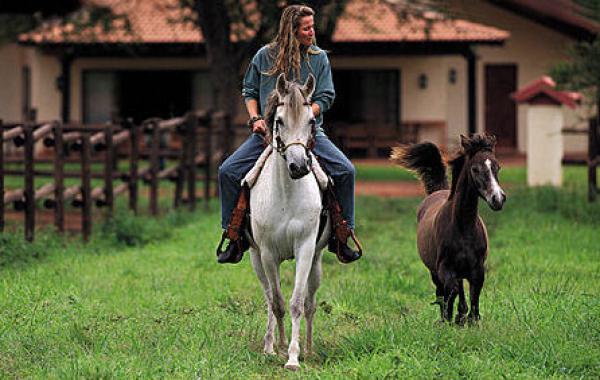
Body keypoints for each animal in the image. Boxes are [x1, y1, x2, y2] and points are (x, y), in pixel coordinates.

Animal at [243, 72, 328, 370]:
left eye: (311, 121)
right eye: (278, 120)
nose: (299, 166)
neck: (286, 195)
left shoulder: (305, 249)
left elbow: (297, 303)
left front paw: (294, 356)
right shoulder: (267, 253)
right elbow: (278, 303)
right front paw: (278, 348)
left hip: (317, 261)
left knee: (311, 302)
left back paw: (311, 348)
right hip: (257, 259)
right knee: (270, 297)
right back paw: (269, 345)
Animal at [390, 134, 506, 324]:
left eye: (497, 167)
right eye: (475, 169)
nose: (498, 199)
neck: (464, 228)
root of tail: (437, 191)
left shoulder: (478, 269)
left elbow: (474, 297)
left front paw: (470, 319)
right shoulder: (444, 268)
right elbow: (451, 291)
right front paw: (449, 318)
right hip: (434, 271)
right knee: (444, 290)